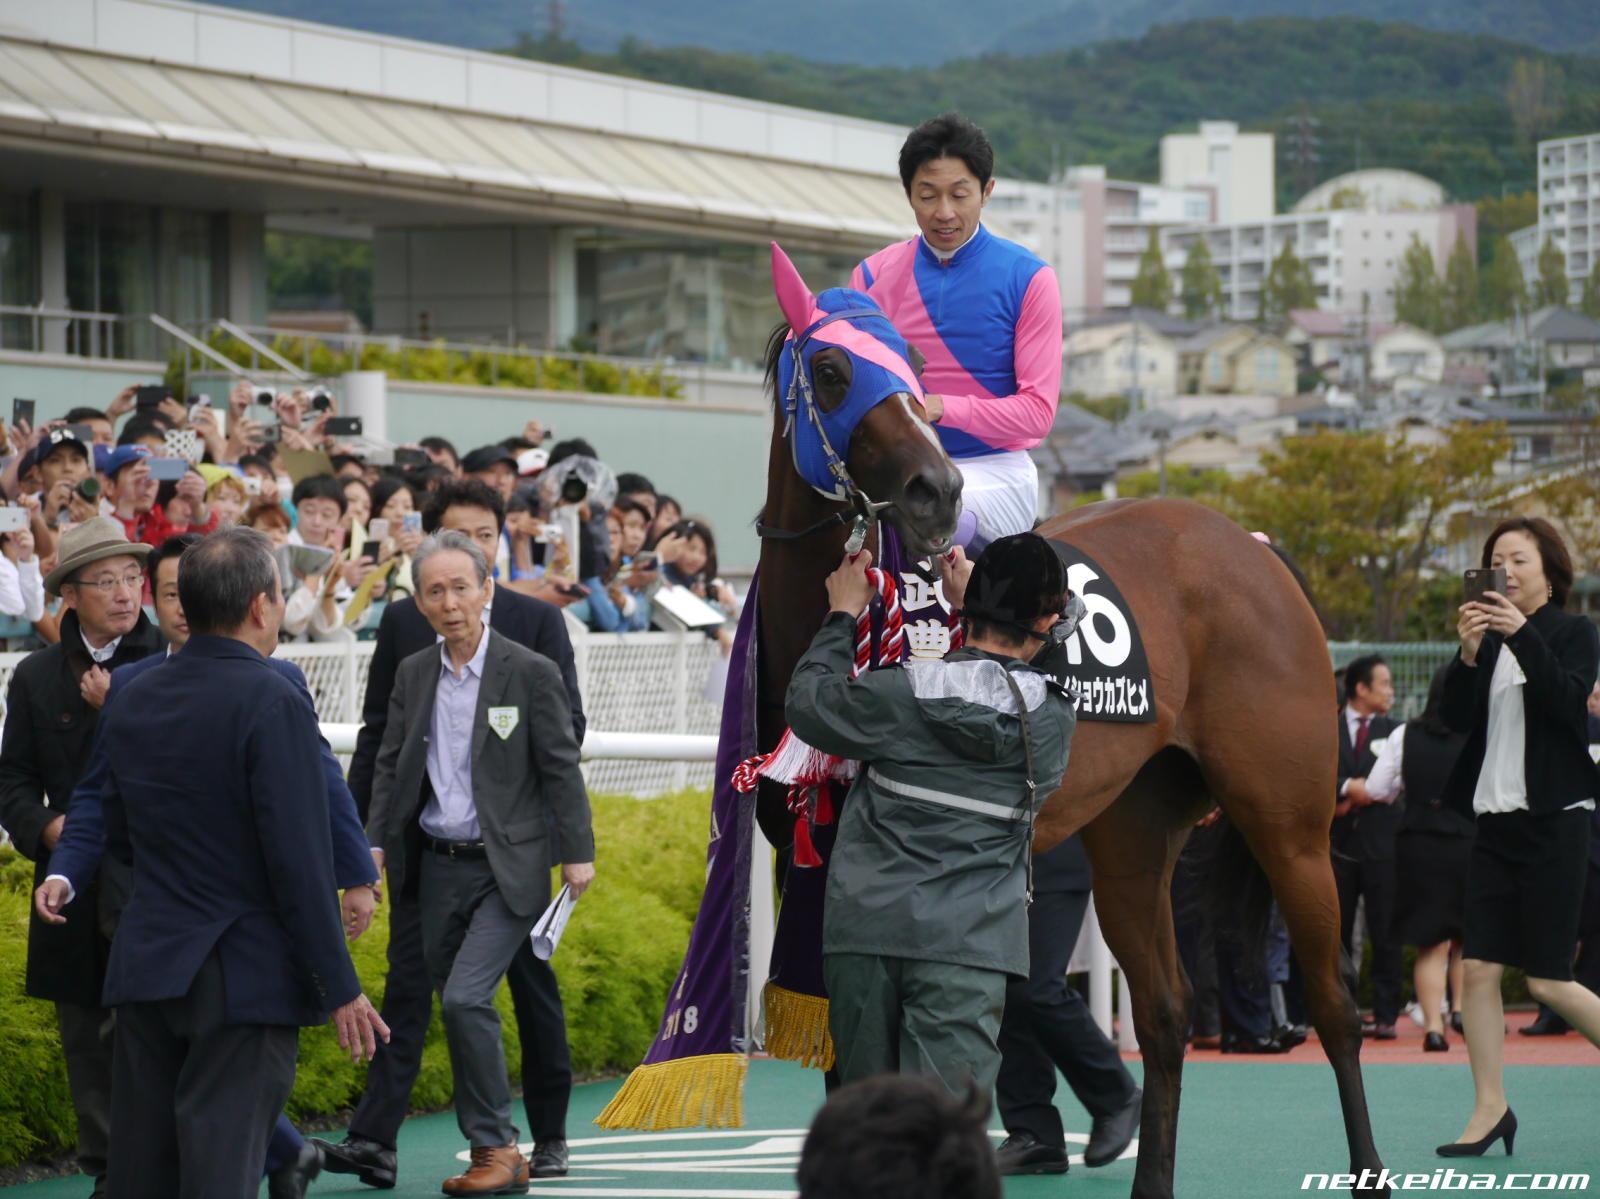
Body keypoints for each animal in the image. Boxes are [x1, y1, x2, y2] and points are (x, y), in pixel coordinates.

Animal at [751, 247, 1388, 1197]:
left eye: (914, 365)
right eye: (831, 373)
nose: (936, 489)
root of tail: (1252, 546)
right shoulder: (820, 873)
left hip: (1291, 822)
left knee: (1335, 1005)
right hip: (1134, 833)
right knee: (1165, 1012)